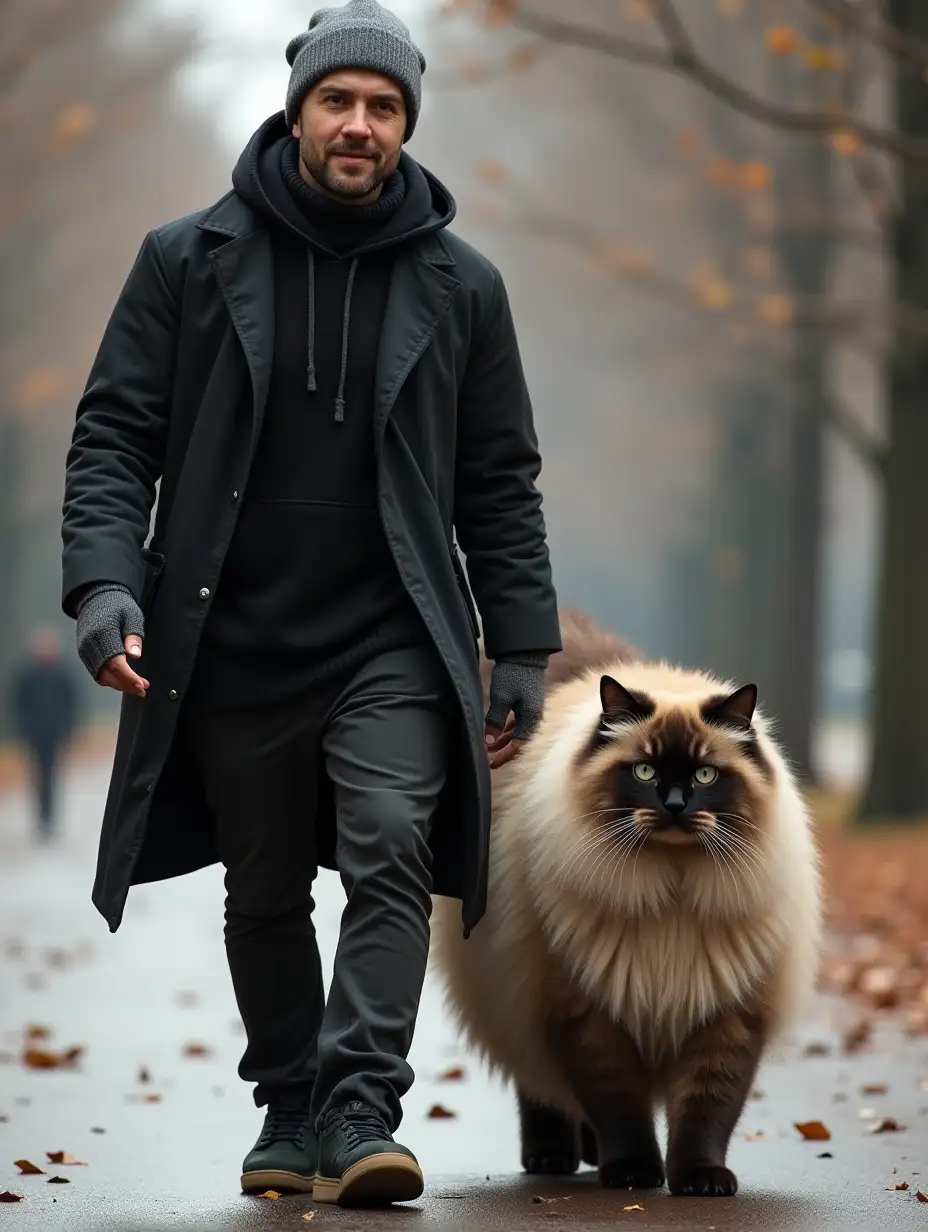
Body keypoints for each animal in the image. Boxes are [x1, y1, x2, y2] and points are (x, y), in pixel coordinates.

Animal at [433, 611, 818, 1197]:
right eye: (644, 772)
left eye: (705, 774)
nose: (675, 805)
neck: (671, 896)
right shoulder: (586, 1017)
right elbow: (619, 1109)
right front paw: (635, 1173)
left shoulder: (725, 1019)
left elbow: (706, 1113)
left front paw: (699, 1180)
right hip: (515, 1001)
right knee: (540, 1091)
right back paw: (554, 1158)